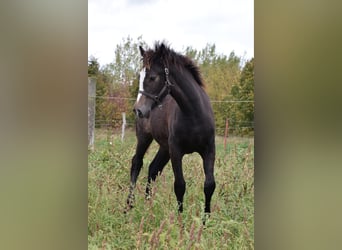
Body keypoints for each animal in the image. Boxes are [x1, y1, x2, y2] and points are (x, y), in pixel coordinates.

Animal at [127, 42, 215, 218]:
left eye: (152, 77)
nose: (138, 110)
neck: (194, 114)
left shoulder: (209, 150)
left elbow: (209, 185)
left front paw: (206, 220)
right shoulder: (176, 151)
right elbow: (180, 185)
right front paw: (180, 220)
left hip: (164, 147)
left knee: (153, 169)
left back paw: (148, 207)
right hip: (145, 138)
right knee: (137, 163)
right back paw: (130, 205)